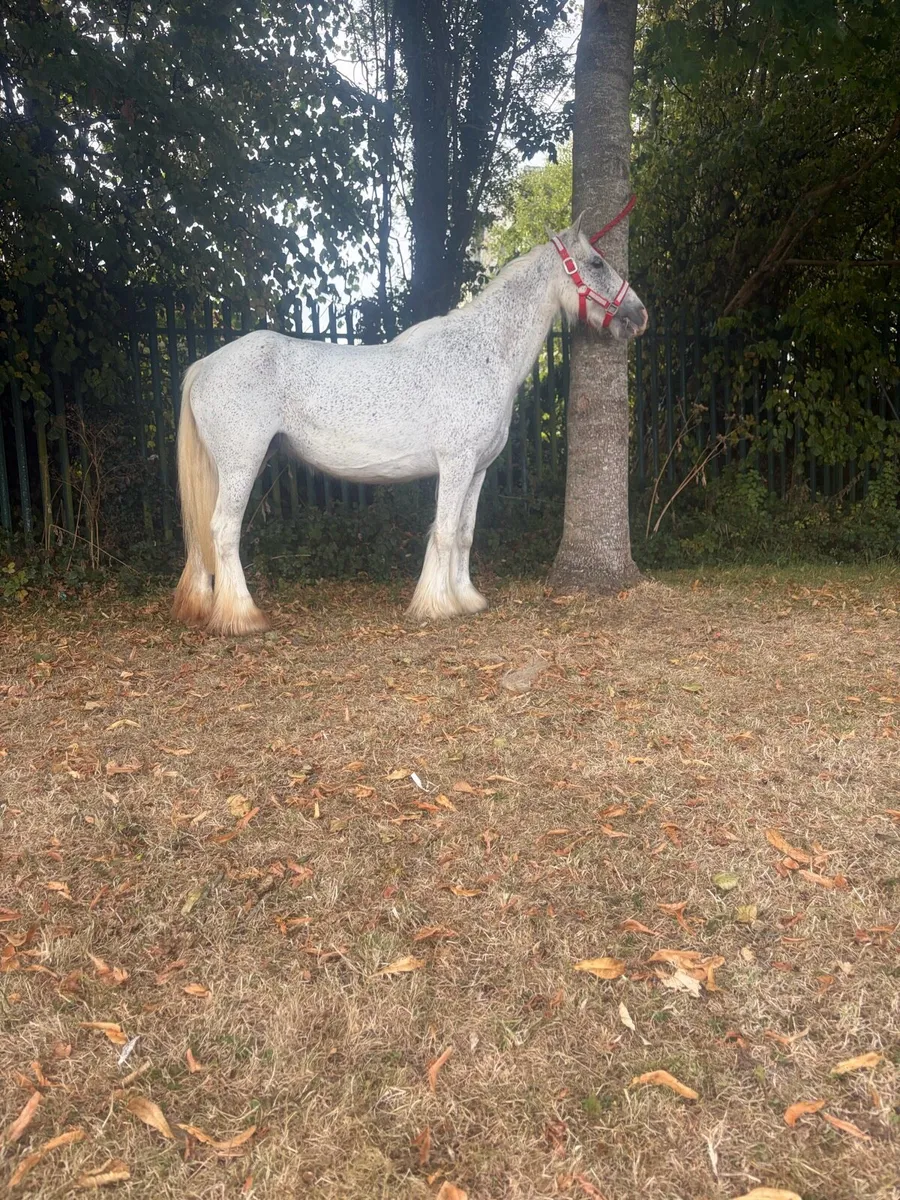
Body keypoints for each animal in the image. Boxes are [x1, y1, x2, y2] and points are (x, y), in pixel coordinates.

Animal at [172, 215, 648, 635]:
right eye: (596, 263)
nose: (639, 314)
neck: (483, 352)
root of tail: (205, 364)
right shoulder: (456, 464)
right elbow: (444, 531)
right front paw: (436, 605)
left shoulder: (477, 469)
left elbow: (463, 534)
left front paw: (467, 598)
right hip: (241, 464)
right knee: (223, 530)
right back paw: (242, 617)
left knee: (202, 533)